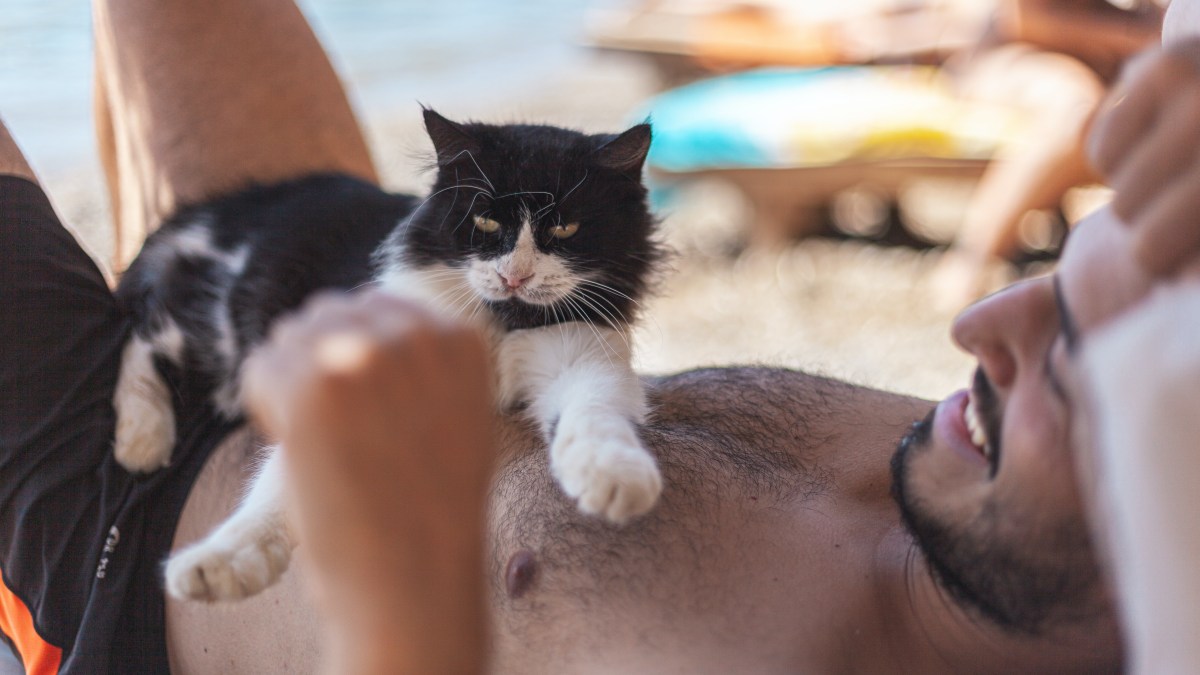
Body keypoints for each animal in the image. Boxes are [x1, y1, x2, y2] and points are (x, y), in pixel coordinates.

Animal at [111, 109, 663, 601]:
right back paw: (142, 441)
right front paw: (218, 565)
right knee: (142, 329)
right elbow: (273, 489)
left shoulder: (585, 358)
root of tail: (224, 209)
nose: (515, 277)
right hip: (215, 323)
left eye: (565, 230)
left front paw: (616, 480)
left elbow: (594, 417)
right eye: (485, 221)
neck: (503, 320)